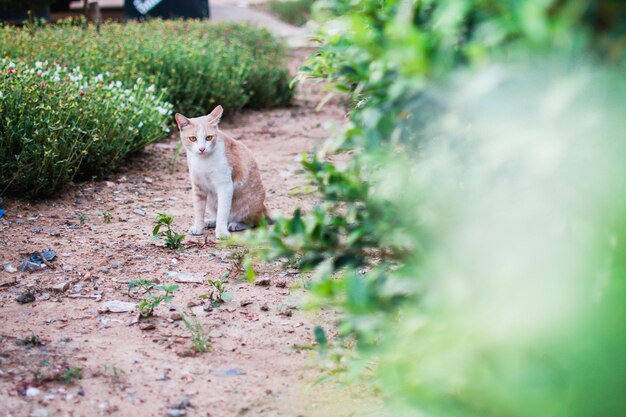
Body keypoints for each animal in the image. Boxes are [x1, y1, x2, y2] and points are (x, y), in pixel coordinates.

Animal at [174, 105, 270, 239]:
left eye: (209, 138)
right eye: (193, 139)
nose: (202, 149)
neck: (204, 161)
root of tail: (263, 207)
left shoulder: (225, 186)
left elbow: (223, 212)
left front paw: (221, 231)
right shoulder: (198, 187)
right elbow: (199, 210)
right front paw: (198, 226)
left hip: (249, 207)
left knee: (254, 222)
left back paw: (236, 224)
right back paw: (210, 221)